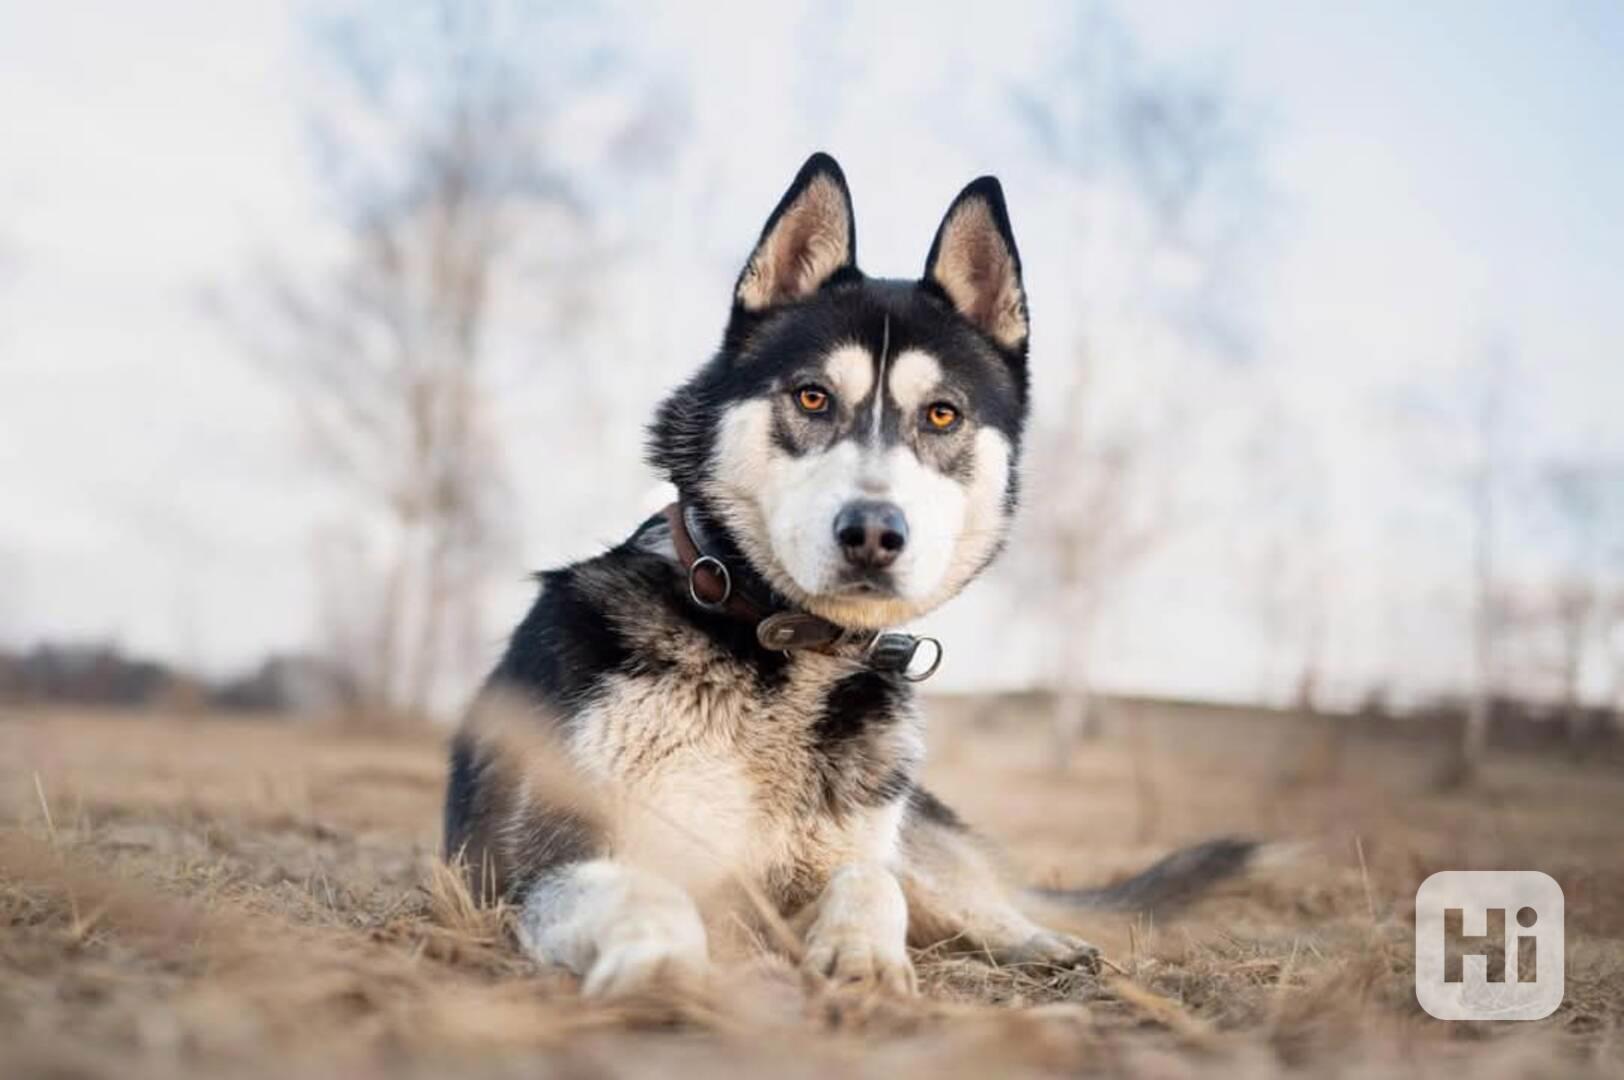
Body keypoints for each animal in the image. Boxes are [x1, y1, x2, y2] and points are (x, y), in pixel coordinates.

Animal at [444, 151, 1253, 993]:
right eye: (812, 397)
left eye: (941, 414)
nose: (872, 532)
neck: (782, 649)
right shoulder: (542, 867)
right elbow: (646, 889)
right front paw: (665, 968)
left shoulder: (824, 870)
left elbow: (869, 881)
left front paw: (862, 956)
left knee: (956, 893)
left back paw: (1043, 942)